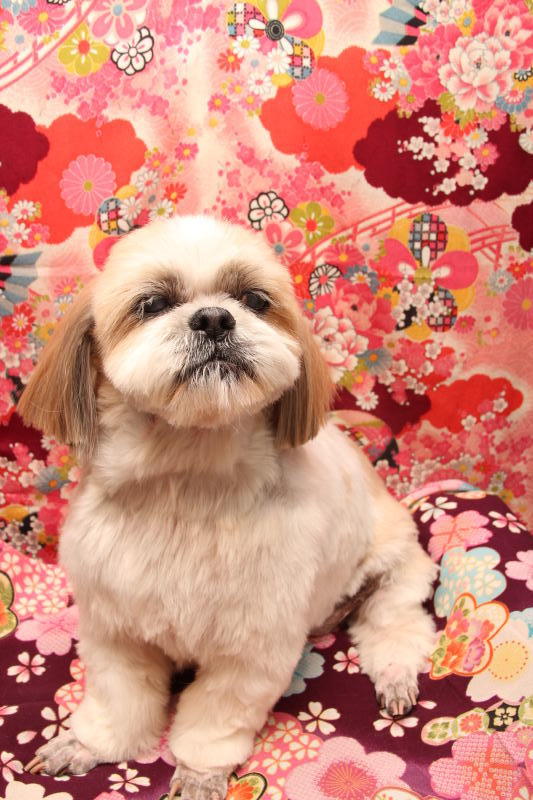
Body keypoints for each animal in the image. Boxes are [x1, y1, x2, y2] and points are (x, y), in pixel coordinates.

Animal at [19, 215, 437, 800]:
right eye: (152, 303)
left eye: (254, 299)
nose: (215, 317)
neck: (187, 483)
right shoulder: (115, 628)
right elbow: (118, 700)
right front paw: (87, 744)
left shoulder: (251, 650)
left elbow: (214, 718)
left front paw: (199, 774)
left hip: (398, 565)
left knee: (396, 622)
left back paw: (396, 675)